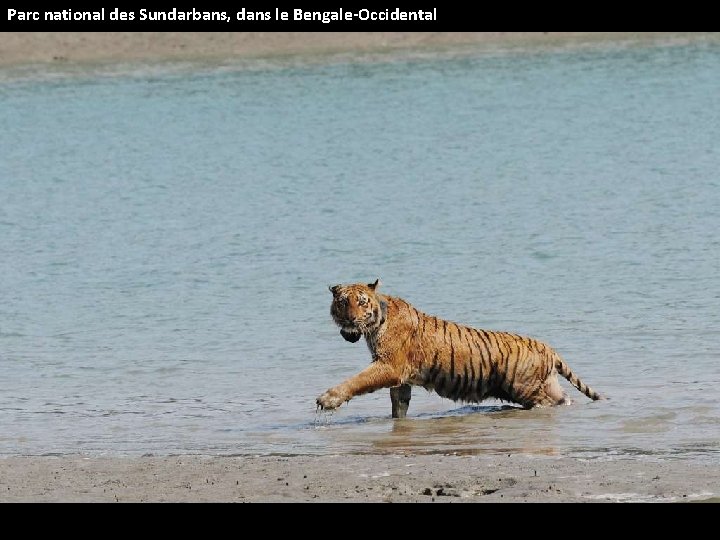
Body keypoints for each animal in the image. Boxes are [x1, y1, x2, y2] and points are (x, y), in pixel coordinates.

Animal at [318, 280, 604, 416]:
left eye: (361, 302)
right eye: (343, 303)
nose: (350, 319)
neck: (377, 322)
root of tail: (548, 347)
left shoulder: (389, 366)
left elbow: (356, 381)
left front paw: (327, 400)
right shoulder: (401, 379)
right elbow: (398, 406)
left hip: (524, 388)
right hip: (546, 385)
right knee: (565, 399)